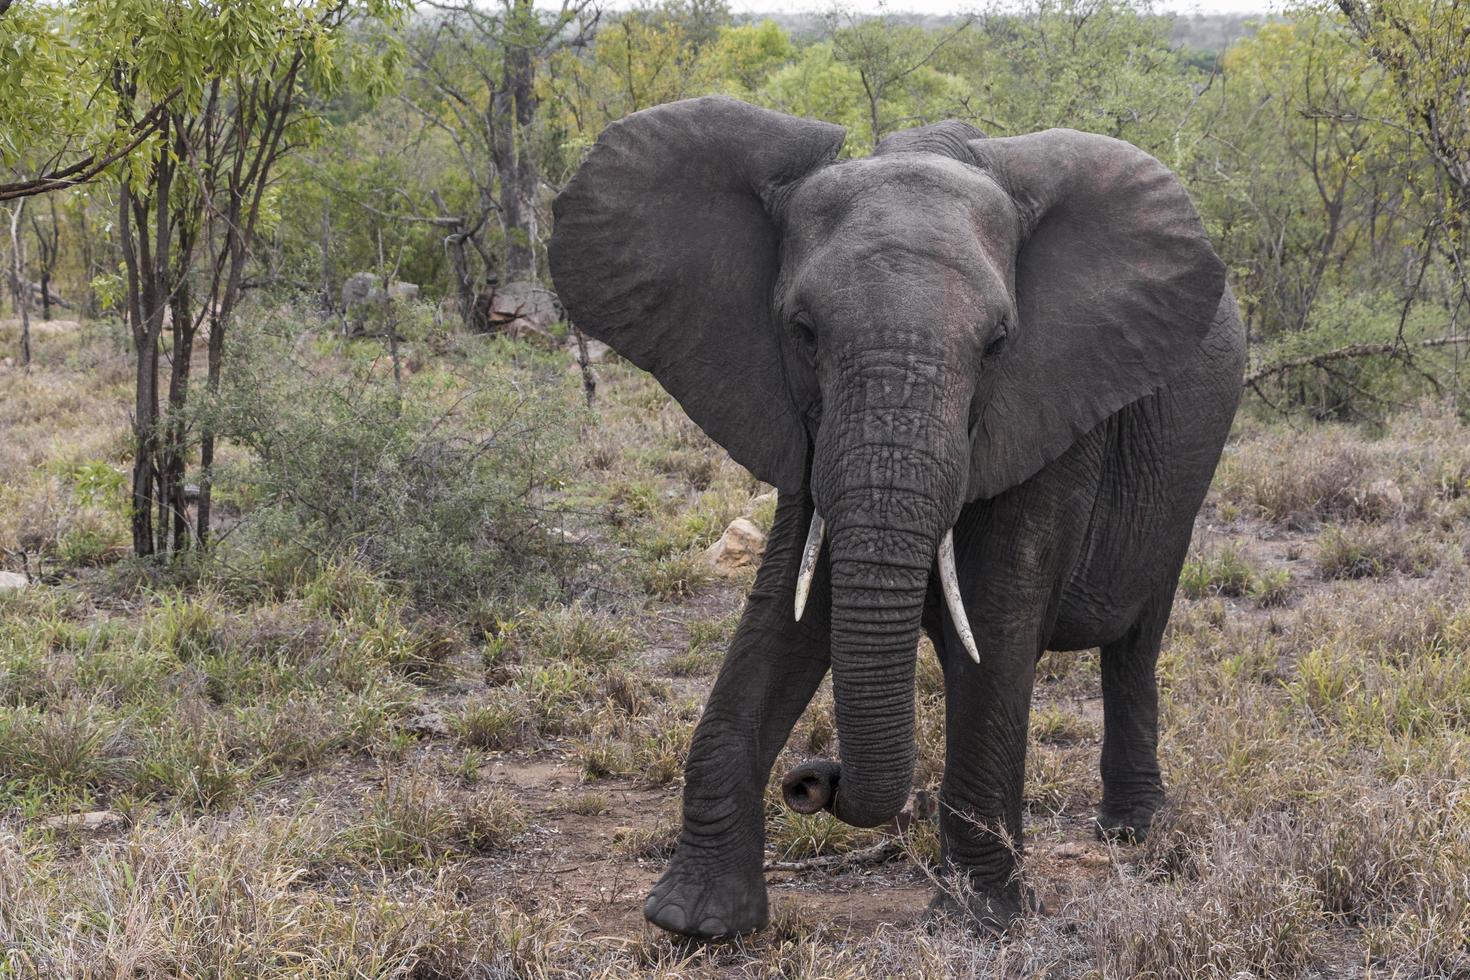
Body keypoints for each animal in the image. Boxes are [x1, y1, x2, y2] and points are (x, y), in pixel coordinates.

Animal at [546, 95, 1246, 940]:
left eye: (998, 344)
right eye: (802, 331)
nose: (812, 779)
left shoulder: (1055, 402)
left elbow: (997, 619)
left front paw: (983, 920)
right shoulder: (803, 427)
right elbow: (790, 610)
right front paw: (695, 920)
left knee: (1136, 641)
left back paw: (1132, 830)